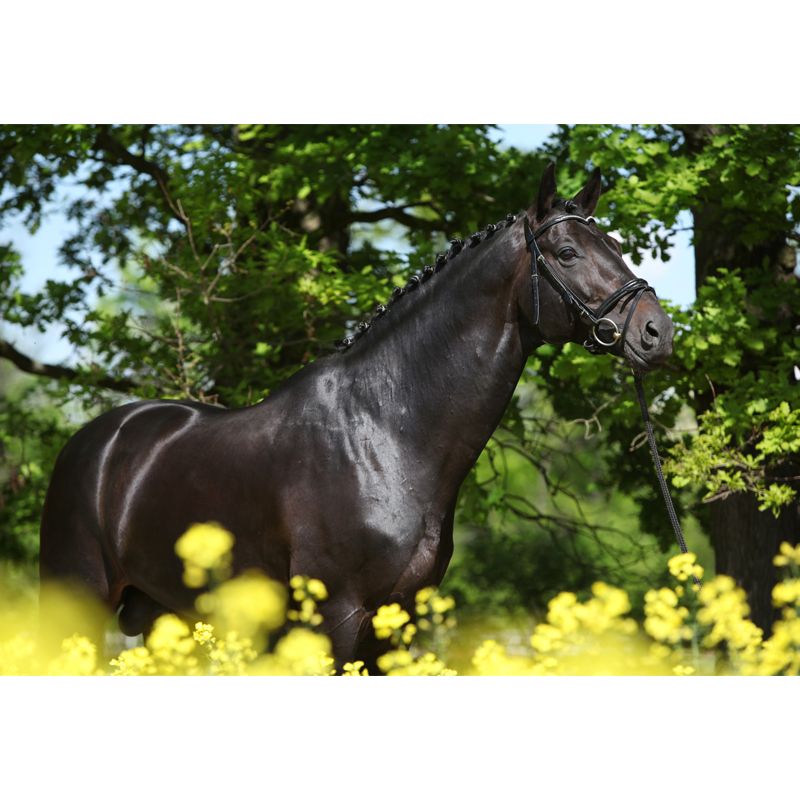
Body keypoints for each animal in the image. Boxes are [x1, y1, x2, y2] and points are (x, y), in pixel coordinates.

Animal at [39, 164, 674, 669]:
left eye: (616, 246)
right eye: (568, 254)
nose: (657, 333)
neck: (385, 434)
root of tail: (97, 440)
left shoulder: (398, 622)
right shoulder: (336, 616)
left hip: (158, 617)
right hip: (80, 602)